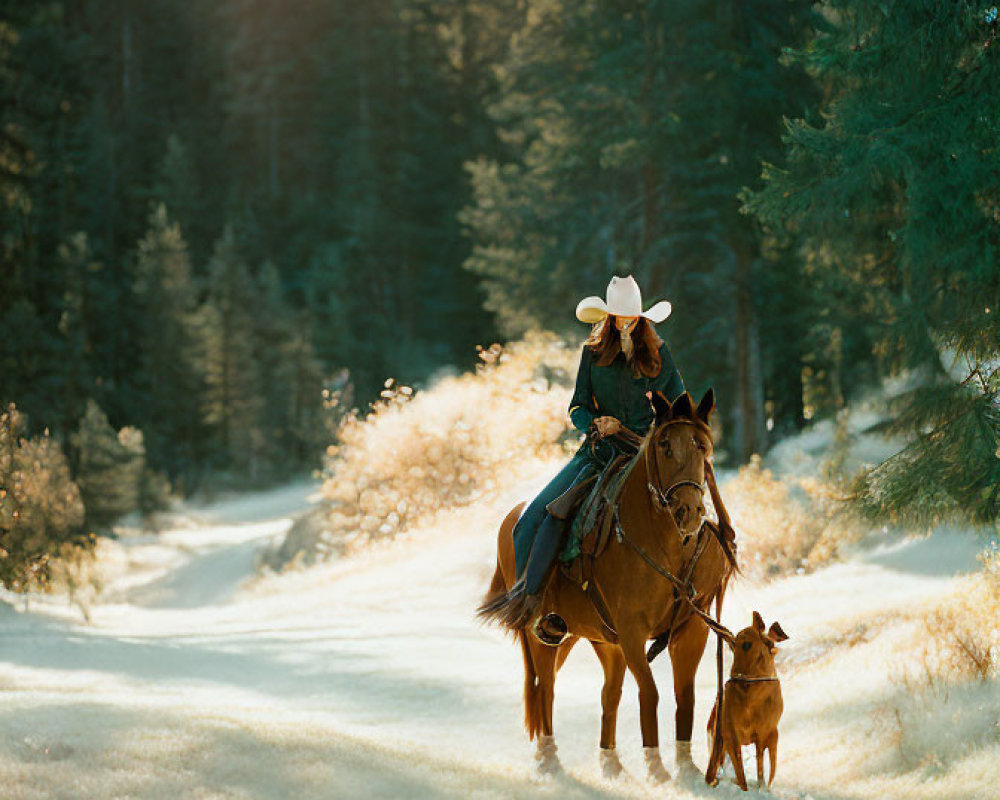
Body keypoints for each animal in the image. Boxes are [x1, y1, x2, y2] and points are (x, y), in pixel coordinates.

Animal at [480, 388, 740, 780]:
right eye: (664, 445)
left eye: (703, 446)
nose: (689, 512)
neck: (662, 545)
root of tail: (512, 518)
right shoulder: (632, 632)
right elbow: (650, 692)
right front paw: (656, 768)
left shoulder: (690, 629)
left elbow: (684, 695)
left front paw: (686, 767)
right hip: (543, 633)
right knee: (545, 686)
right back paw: (549, 758)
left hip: (595, 638)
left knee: (607, 692)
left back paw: (610, 763)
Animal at [704, 612, 788, 788]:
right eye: (733, 645)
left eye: (747, 645)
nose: (733, 679)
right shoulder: (731, 737)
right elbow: (742, 774)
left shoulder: (768, 735)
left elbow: (763, 770)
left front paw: (762, 788)